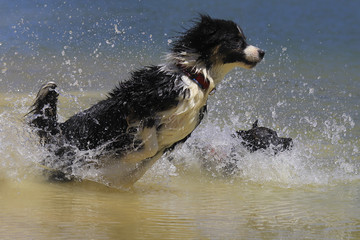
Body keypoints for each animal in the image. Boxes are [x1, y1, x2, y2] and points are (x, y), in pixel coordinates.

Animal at [26, 15, 264, 188]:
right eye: (237, 41)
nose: (262, 52)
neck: (195, 78)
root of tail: (59, 128)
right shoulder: (137, 106)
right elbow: (147, 147)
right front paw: (119, 159)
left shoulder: (173, 139)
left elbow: (146, 163)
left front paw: (118, 179)